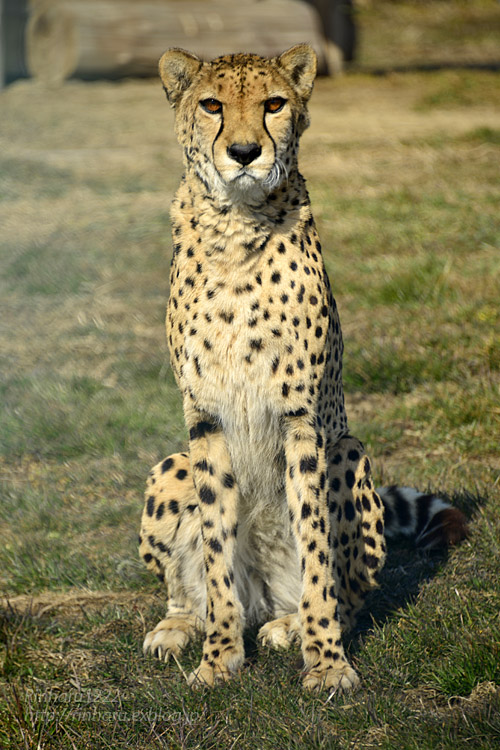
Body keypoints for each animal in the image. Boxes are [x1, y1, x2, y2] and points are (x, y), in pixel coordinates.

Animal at [136, 45, 464, 692]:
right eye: (212, 105)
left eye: (273, 104)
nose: (244, 152)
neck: (236, 227)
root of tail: (264, 596)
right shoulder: (204, 419)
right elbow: (215, 549)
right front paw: (219, 657)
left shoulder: (301, 418)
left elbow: (315, 547)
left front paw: (327, 660)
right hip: (172, 465)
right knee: (190, 587)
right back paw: (181, 626)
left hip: (347, 453)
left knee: (350, 590)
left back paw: (290, 625)